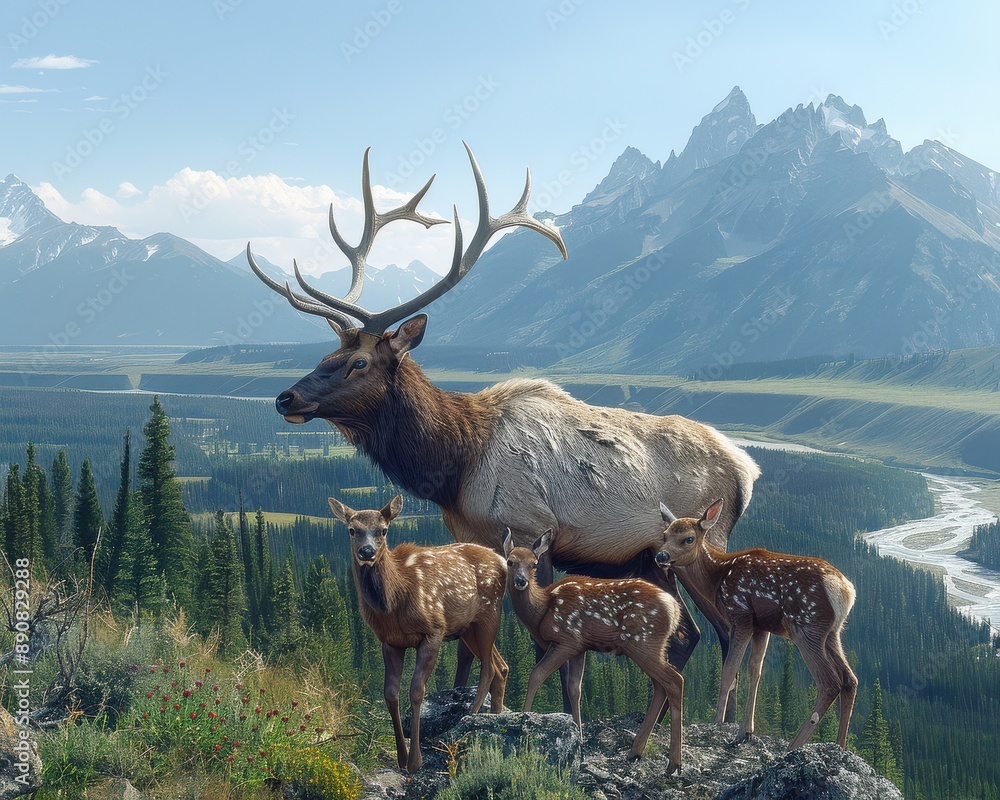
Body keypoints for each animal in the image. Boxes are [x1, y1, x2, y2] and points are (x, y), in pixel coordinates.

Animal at [247, 143, 761, 719]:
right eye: (325, 355)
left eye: (358, 362)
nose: (286, 398)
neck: (455, 464)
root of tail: (748, 470)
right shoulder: (472, 539)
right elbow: (469, 647)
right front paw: (460, 703)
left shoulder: (534, 529)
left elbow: (550, 649)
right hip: (651, 557)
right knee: (687, 633)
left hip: (703, 541)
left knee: (727, 628)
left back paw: (726, 723)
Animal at [327, 493, 509, 773]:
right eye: (352, 529)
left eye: (384, 530)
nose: (367, 551)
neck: (394, 602)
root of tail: (503, 562)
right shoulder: (389, 641)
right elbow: (390, 693)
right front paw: (401, 757)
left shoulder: (434, 629)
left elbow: (416, 691)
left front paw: (415, 761)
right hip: (468, 626)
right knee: (501, 665)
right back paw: (495, 714)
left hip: (490, 611)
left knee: (489, 667)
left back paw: (472, 714)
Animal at [503, 530, 685, 771]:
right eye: (510, 561)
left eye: (534, 564)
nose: (521, 581)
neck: (542, 609)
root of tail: (674, 609)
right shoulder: (580, 648)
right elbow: (574, 689)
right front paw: (579, 737)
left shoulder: (567, 639)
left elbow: (536, 675)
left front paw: (524, 719)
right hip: (652, 646)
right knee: (660, 686)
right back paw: (635, 752)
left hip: (642, 641)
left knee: (674, 680)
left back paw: (673, 762)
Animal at [655, 498, 858, 751]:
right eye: (665, 535)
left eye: (688, 538)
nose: (661, 556)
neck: (718, 577)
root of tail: (846, 591)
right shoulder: (762, 627)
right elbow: (754, 671)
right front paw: (745, 731)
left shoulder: (740, 614)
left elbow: (730, 670)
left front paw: (718, 723)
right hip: (832, 633)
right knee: (850, 679)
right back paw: (839, 746)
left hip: (806, 625)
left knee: (830, 682)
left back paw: (793, 745)